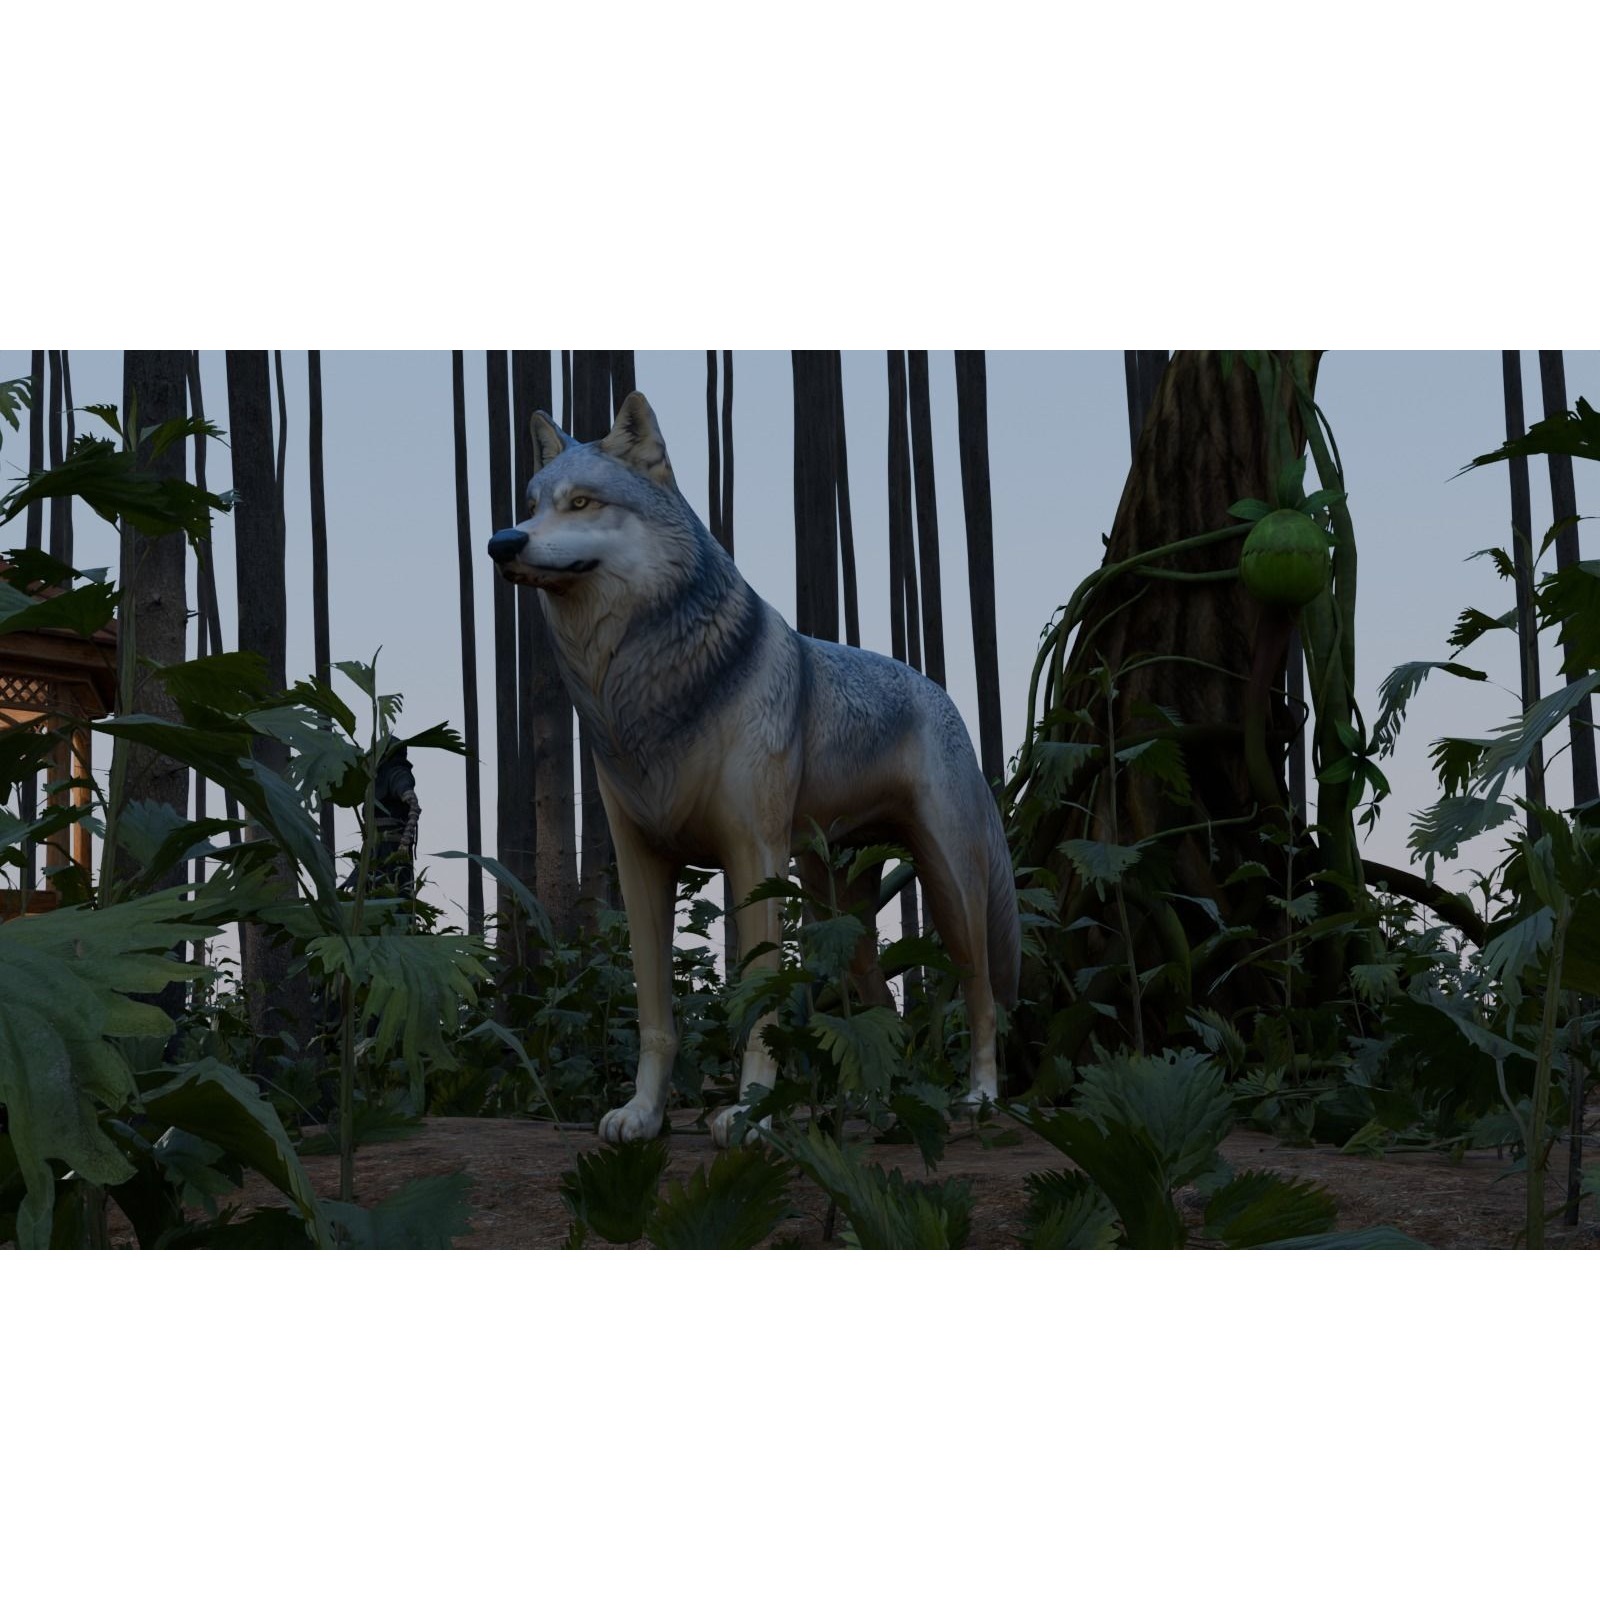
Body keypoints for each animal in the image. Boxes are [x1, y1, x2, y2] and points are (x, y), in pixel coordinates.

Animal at [488, 392, 1019, 1147]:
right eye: (531, 505)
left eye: (583, 502)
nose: (502, 543)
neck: (640, 687)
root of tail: (938, 692)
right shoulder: (640, 863)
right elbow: (655, 1017)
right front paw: (643, 1115)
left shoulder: (752, 857)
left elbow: (758, 1003)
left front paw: (749, 1113)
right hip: (836, 909)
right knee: (879, 1007)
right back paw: (875, 1109)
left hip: (950, 892)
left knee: (980, 995)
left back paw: (978, 1097)